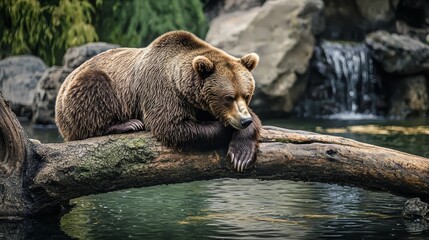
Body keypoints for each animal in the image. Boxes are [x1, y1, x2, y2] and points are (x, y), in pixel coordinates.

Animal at [54, 31, 260, 172]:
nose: (244, 120)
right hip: (80, 94)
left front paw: (241, 153)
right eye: (228, 97)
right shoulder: (160, 88)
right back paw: (128, 124)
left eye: (246, 95)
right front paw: (226, 128)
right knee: (93, 88)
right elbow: (172, 126)